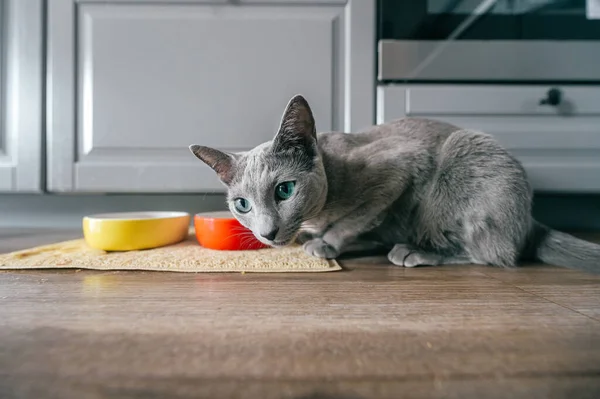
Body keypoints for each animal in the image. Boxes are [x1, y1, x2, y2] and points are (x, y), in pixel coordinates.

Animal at [191, 95, 600, 274]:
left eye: (284, 191)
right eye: (242, 205)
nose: (268, 232)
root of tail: (532, 219)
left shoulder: (400, 168)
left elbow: (355, 218)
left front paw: (326, 244)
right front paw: (321, 240)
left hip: (462, 158)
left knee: (496, 253)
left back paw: (415, 252)